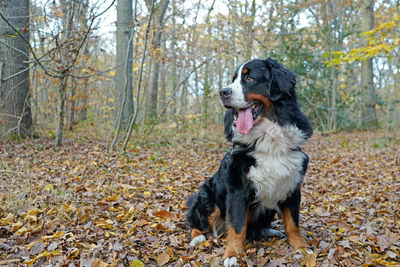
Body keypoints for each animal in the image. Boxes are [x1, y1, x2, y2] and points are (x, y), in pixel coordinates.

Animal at [186, 58, 314, 266]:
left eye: (249, 78)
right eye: (232, 80)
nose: (223, 92)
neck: (268, 140)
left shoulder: (292, 185)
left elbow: (293, 223)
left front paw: (302, 248)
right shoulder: (238, 190)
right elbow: (237, 227)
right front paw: (232, 255)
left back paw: (270, 231)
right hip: (207, 197)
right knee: (200, 224)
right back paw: (197, 238)